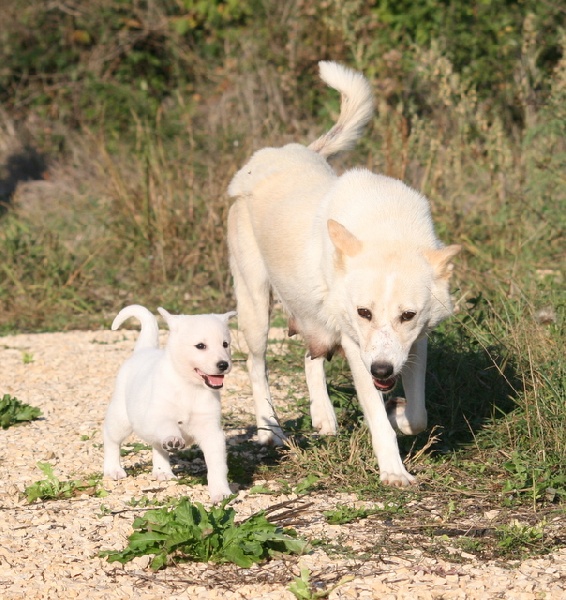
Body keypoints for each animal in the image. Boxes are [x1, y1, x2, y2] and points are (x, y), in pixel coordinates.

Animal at [103, 302, 236, 504]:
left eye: (225, 344)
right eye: (200, 346)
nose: (223, 364)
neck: (189, 387)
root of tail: (143, 350)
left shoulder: (212, 431)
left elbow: (217, 466)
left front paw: (221, 493)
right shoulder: (157, 416)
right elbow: (168, 426)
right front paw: (173, 438)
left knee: (158, 447)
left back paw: (162, 471)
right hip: (121, 419)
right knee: (111, 440)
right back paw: (113, 469)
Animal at [226, 59, 462, 488]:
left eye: (407, 315)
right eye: (364, 313)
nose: (382, 370)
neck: (387, 229)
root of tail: (286, 153)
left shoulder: (416, 341)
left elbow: (418, 415)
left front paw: (396, 413)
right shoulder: (356, 346)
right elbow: (378, 418)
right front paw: (393, 471)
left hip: (315, 311)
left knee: (310, 354)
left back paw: (324, 417)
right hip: (254, 306)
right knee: (256, 365)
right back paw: (272, 431)